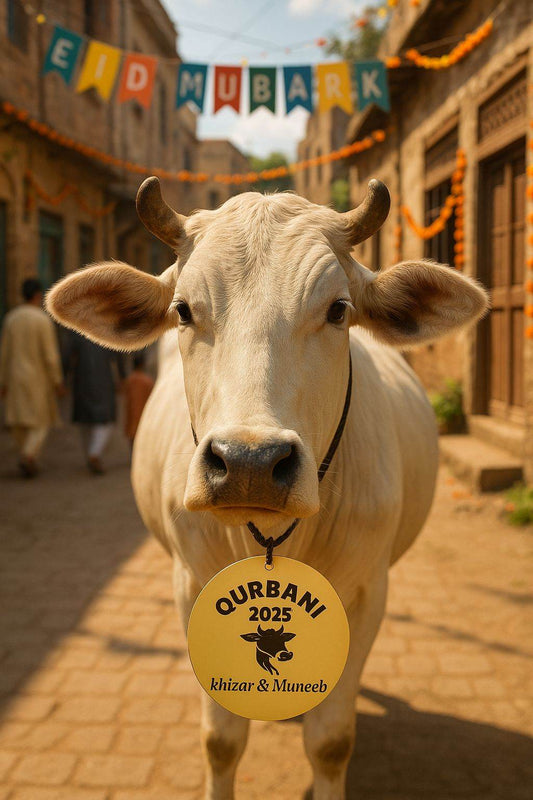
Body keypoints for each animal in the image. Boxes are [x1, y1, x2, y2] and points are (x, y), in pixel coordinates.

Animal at [46, 176, 488, 800]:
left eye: (338, 310)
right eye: (183, 310)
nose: (249, 462)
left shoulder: (366, 593)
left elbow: (330, 742)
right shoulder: (192, 586)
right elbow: (221, 740)